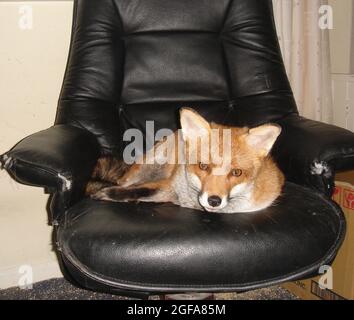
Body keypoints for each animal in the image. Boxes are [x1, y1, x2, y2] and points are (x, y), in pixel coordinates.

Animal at [88, 109, 284, 214]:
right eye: (203, 166)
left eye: (236, 172)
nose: (214, 201)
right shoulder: (169, 185)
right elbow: (138, 190)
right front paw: (108, 193)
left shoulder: (169, 194)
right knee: (124, 182)